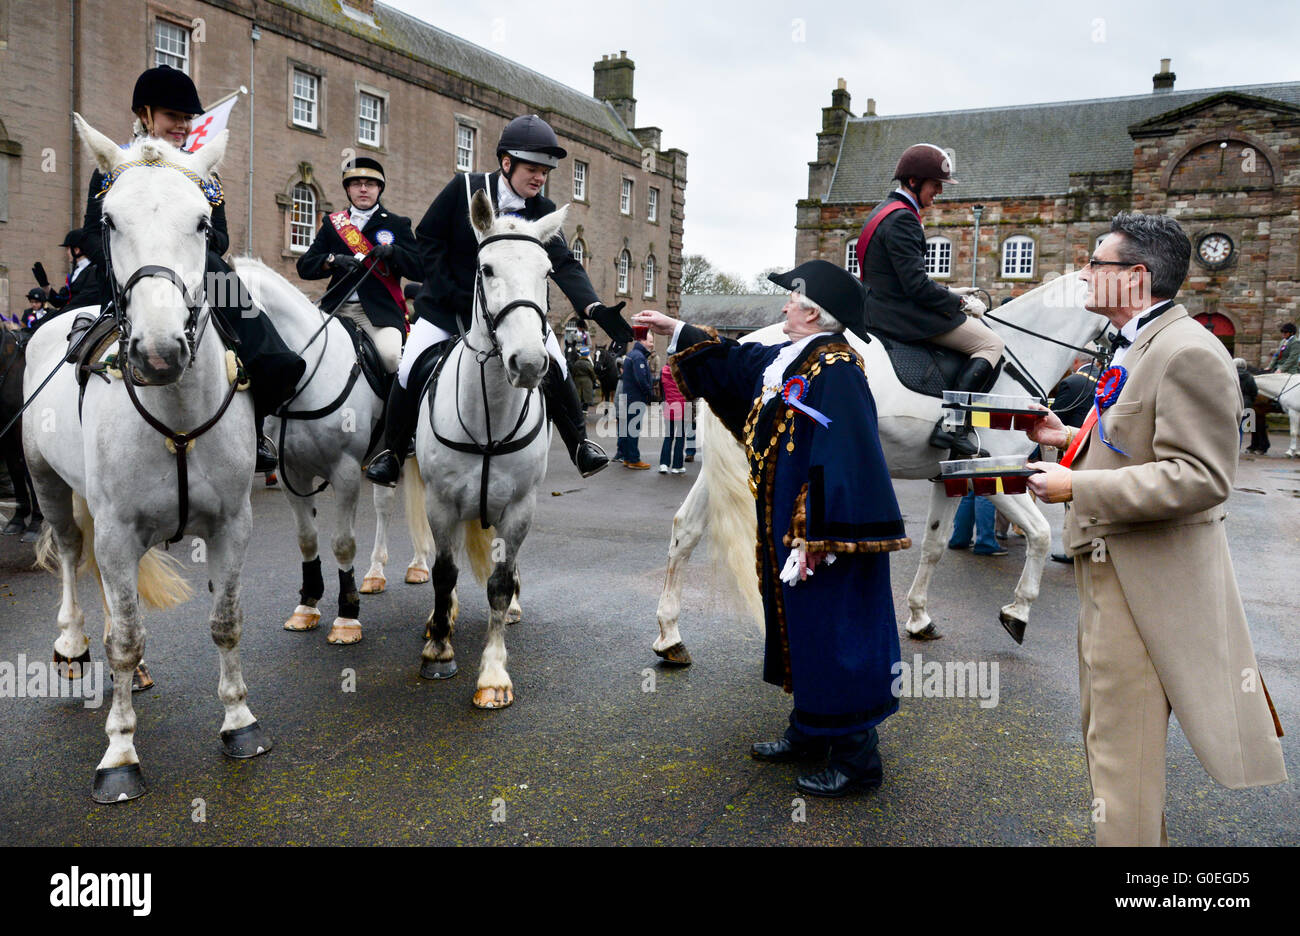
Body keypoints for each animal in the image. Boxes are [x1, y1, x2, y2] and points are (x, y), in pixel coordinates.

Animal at [23, 118, 269, 806]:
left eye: (204, 223)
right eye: (109, 219)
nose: (158, 352)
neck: (176, 413)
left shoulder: (233, 525)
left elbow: (225, 622)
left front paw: (238, 721)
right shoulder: (114, 529)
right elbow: (126, 639)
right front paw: (119, 752)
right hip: (49, 485)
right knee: (73, 559)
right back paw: (73, 640)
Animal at [233, 260, 431, 647]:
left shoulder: (346, 472)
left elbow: (342, 543)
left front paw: (347, 616)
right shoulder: (293, 473)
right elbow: (307, 539)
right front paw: (307, 605)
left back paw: (418, 565)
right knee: (385, 505)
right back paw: (375, 572)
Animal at [405, 189, 559, 707]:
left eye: (548, 271)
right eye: (486, 268)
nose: (528, 363)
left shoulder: (520, 507)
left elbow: (497, 583)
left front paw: (493, 674)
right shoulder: (441, 501)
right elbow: (443, 573)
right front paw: (438, 650)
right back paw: (442, 619)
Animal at [650, 273, 1107, 665]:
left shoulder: (950, 477)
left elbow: (934, 546)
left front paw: (919, 617)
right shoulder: (993, 473)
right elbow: (1040, 534)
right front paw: (1017, 613)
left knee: (686, 530)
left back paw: (670, 636)